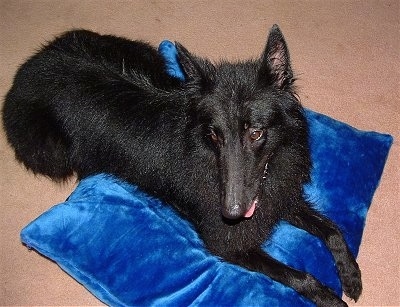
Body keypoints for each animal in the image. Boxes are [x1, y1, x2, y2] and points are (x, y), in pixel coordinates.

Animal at [2, 25, 362, 306]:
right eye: (214, 135)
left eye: (256, 133)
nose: (231, 212)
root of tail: (32, 63)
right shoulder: (228, 244)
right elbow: (299, 276)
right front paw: (330, 297)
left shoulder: (280, 196)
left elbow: (332, 230)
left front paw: (350, 274)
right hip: (54, 154)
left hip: (142, 52)